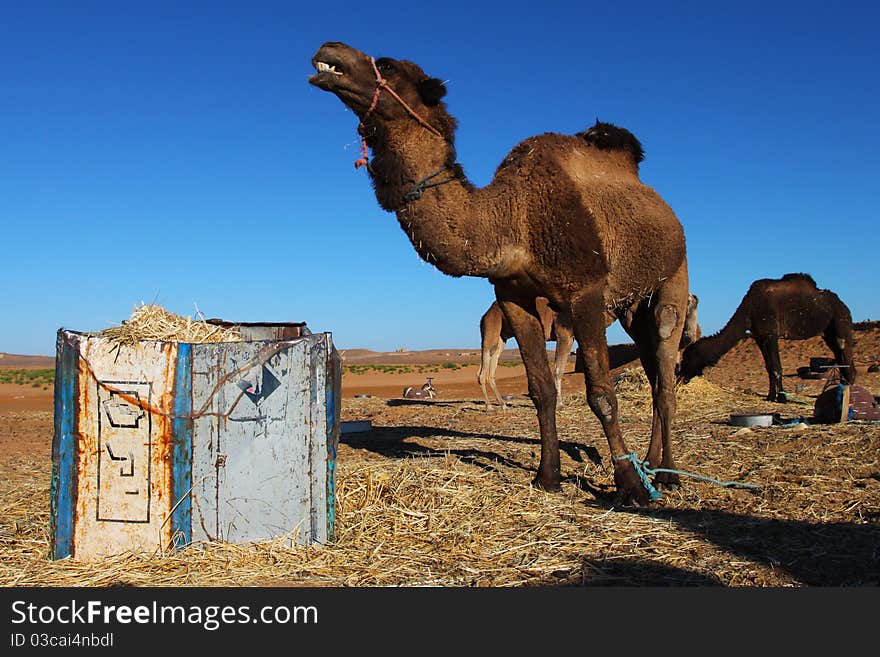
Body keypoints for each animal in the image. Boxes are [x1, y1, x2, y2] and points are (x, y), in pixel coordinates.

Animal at [312, 42, 692, 502]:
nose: (329, 51)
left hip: (674, 279)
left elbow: (602, 393)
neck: (515, 219)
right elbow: (540, 390)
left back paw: (665, 474)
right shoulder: (513, 295)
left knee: (666, 372)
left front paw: (629, 485)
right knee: (654, 374)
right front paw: (547, 477)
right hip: (629, 306)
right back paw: (653, 464)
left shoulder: (583, 291)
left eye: (386, 64)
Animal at [676, 272, 856, 400]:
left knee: (845, 353)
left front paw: (781, 398)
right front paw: (770, 396)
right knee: (840, 355)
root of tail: (844, 306)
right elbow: (769, 367)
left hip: (840, 324)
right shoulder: (759, 337)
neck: (749, 310)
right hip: (828, 333)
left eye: (688, 359)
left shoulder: (770, 334)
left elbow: (777, 367)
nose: (680, 376)